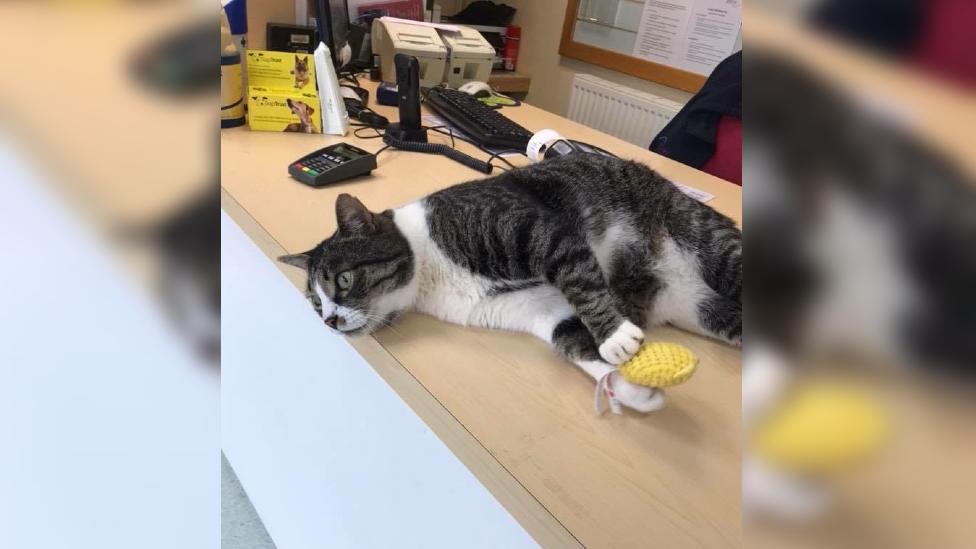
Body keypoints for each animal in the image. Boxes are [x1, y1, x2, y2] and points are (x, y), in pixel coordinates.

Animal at [280, 154, 740, 412]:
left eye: (343, 279)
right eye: (315, 304)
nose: (330, 321)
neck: (430, 269)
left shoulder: (535, 231)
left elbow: (579, 278)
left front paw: (613, 335)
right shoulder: (537, 312)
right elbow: (572, 342)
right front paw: (634, 391)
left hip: (708, 244)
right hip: (706, 310)